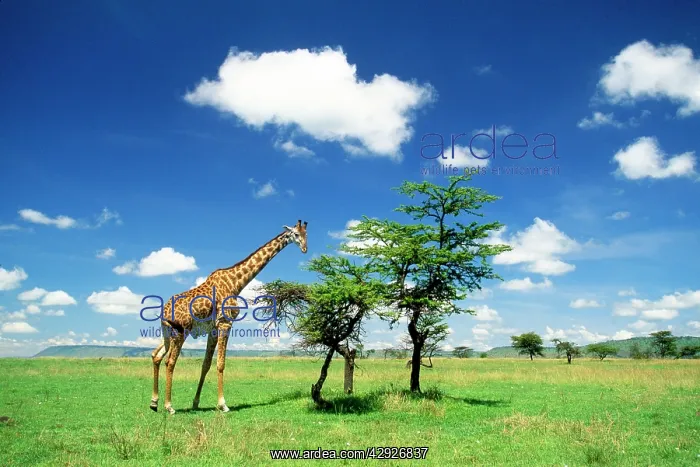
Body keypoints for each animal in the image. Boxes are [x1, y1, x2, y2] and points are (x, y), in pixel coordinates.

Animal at [149, 220, 308, 415]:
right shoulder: (226, 323)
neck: (236, 283)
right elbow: (221, 363)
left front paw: (196, 402)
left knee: (156, 355)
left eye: (306, 234)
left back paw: (154, 402)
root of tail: (163, 312)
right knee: (170, 361)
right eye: (296, 234)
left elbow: (206, 364)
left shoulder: (213, 328)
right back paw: (169, 406)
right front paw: (223, 404)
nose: (305, 248)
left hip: (168, 332)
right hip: (182, 331)